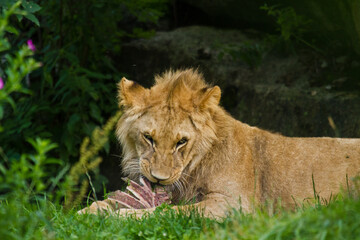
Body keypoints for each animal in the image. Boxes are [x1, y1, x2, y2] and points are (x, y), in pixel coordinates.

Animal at [79, 68, 360, 218]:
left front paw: (125, 216)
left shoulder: (236, 205)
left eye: (181, 142)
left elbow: (174, 211)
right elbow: (106, 202)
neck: (194, 168)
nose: (159, 179)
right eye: (149, 138)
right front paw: (87, 213)